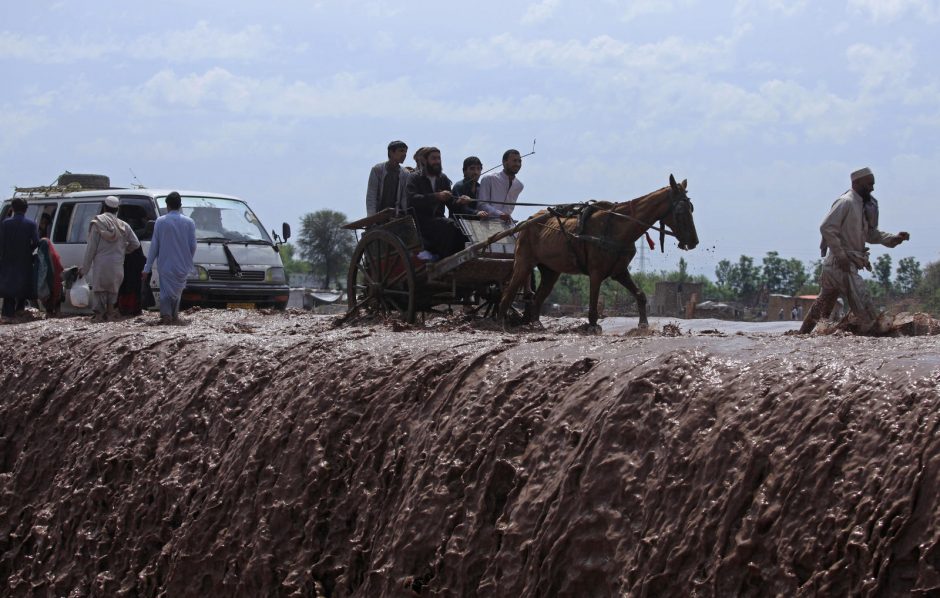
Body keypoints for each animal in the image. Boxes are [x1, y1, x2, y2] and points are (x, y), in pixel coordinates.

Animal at [500, 173, 696, 332]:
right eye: (680, 210)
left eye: (691, 208)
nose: (694, 241)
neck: (618, 227)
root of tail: (526, 223)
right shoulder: (596, 272)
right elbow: (593, 301)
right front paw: (593, 325)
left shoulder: (619, 271)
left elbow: (640, 294)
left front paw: (643, 324)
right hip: (523, 262)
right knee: (507, 294)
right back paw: (500, 321)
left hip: (550, 270)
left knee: (537, 298)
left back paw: (535, 324)